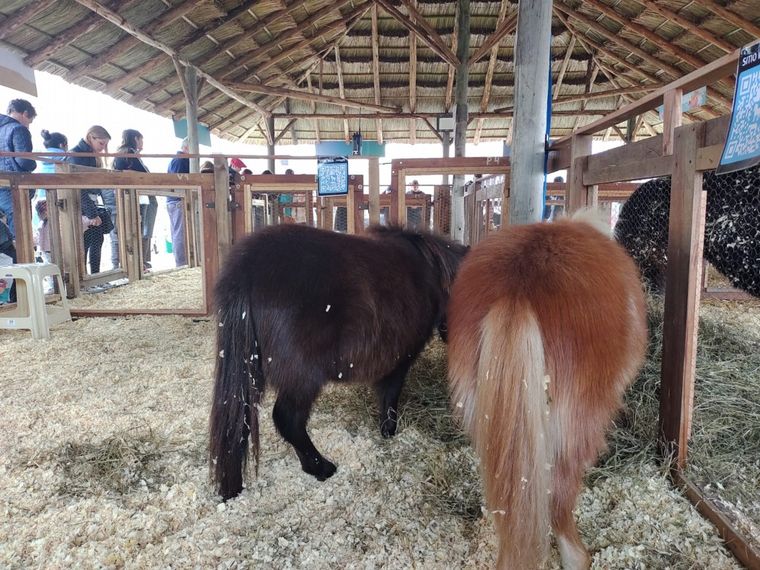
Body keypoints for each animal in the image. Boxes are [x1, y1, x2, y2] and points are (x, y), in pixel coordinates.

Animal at [209, 223, 467, 500]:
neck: (428, 270)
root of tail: (246, 267)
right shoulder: (400, 361)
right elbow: (390, 397)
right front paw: (389, 430)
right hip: (302, 379)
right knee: (288, 420)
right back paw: (321, 467)